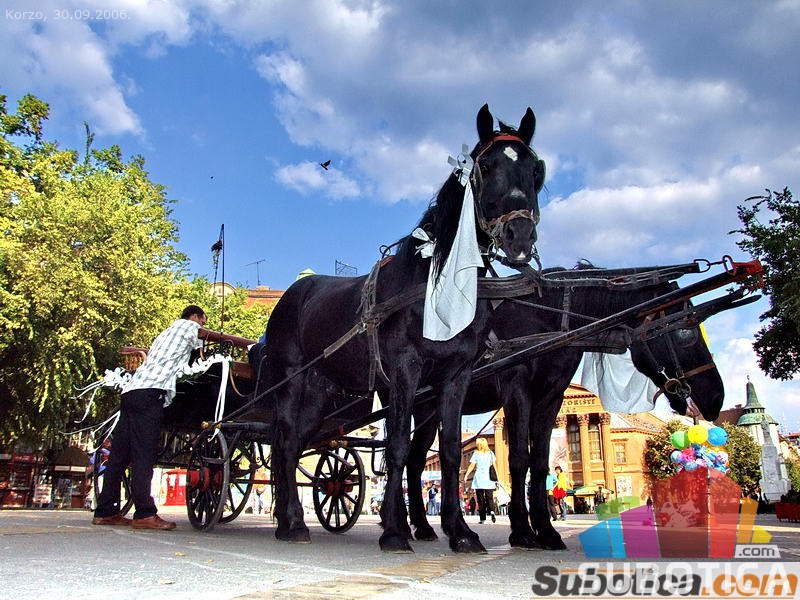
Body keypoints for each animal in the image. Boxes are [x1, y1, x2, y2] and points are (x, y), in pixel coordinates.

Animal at [260, 104, 546, 553]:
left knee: (294, 445)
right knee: (287, 446)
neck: (434, 282)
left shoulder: (456, 376)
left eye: (536, 170)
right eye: (486, 165)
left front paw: (460, 531)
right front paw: (394, 530)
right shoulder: (404, 371)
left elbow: (449, 452)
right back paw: (292, 523)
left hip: (321, 396)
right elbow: (396, 447)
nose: (519, 234)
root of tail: (294, 292)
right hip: (290, 383)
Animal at [404, 263, 725, 551]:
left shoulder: (552, 399)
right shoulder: (516, 390)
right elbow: (519, 458)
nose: (716, 398)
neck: (550, 317)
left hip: (427, 410)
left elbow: (539, 461)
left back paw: (419, 526)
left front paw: (545, 530)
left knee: (414, 460)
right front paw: (523, 531)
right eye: (686, 333)